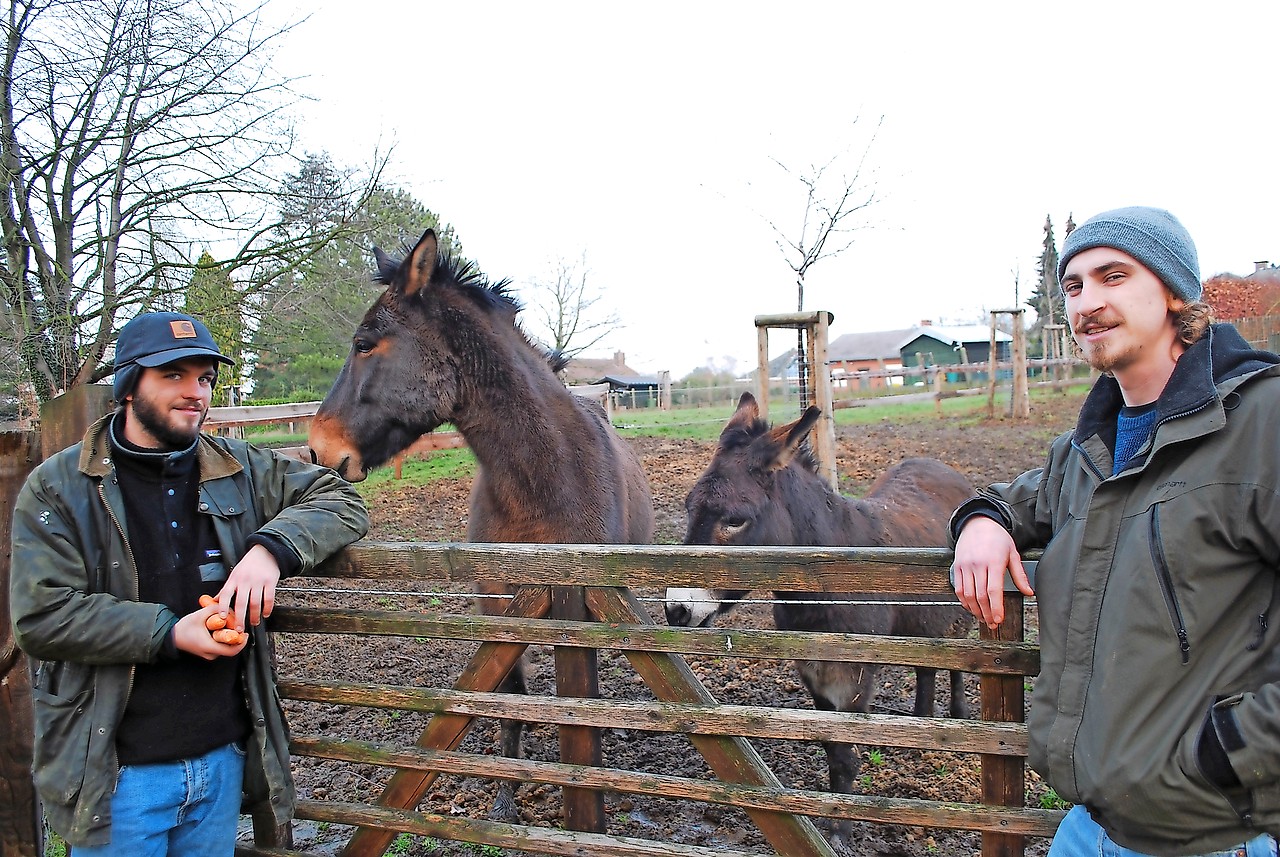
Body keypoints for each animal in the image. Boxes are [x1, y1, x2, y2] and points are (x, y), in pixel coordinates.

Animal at [307, 227, 650, 818]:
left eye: (364, 344)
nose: (318, 448)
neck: (541, 483)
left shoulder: (579, 599)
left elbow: (580, 700)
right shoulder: (500, 603)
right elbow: (510, 692)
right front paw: (507, 799)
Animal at [665, 393, 972, 844]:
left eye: (735, 520)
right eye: (688, 509)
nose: (677, 609)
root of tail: (939, 465)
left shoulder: (853, 675)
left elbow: (846, 752)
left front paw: (840, 829)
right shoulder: (812, 671)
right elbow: (830, 746)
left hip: (959, 618)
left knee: (957, 664)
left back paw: (958, 718)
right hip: (920, 625)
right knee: (926, 667)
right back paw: (920, 724)